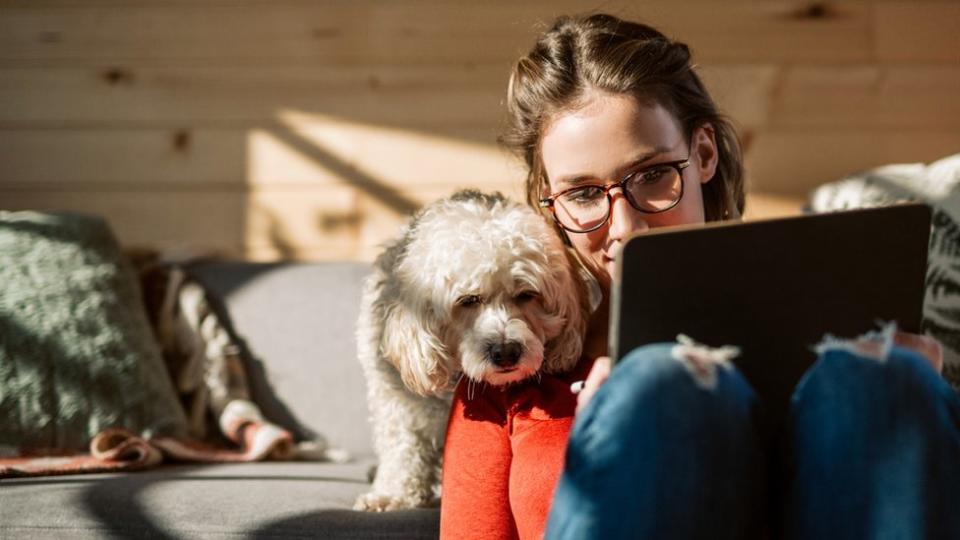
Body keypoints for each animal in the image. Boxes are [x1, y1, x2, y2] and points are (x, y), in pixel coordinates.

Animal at [356, 189, 588, 510]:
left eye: (527, 294)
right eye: (468, 300)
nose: (506, 351)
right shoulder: (397, 401)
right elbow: (402, 446)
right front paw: (393, 494)